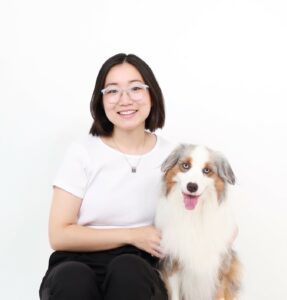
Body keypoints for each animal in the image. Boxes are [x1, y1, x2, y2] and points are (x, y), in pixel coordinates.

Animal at [156, 144, 242, 298]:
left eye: (207, 170)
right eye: (185, 165)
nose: (192, 186)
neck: (195, 215)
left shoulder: (221, 267)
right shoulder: (172, 262)